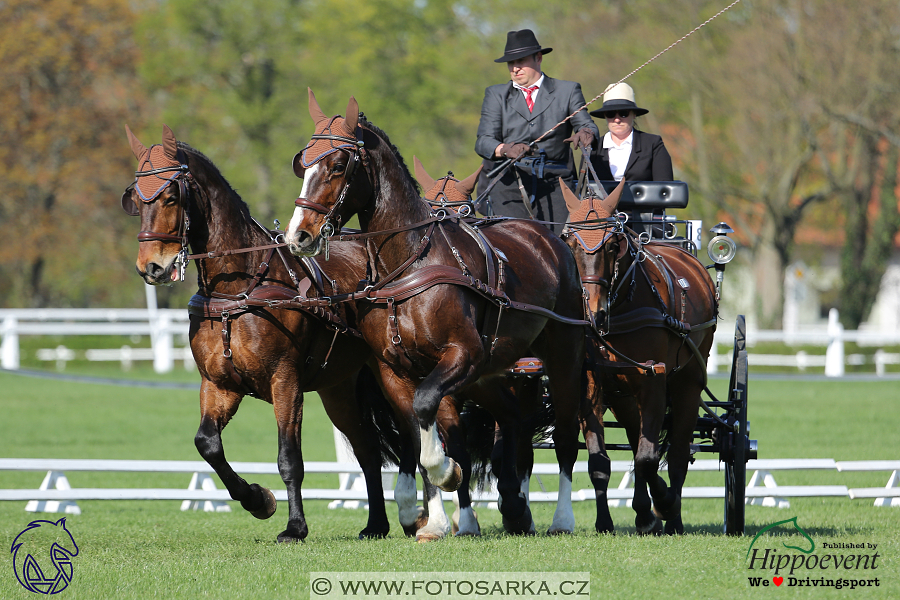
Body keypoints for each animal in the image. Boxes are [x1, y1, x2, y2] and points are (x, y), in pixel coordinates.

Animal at [124, 124, 412, 540]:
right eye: (135, 199)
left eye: (170, 196)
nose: (151, 267)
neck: (239, 287)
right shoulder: (218, 384)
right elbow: (207, 444)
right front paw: (257, 499)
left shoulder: (285, 381)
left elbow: (289, 457)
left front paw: (294, 526)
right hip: (338, 388)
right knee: (367, 450)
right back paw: (376, 523)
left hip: (391, 372)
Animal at [286, 90, 612, 536]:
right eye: (302, 164)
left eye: (338, 166)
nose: (297, 235)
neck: (409, 264)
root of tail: (548, 237)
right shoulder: (395, 370)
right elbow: (416, 432)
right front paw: (435, 518)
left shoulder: (461, 355)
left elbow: (428, 417)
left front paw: (447, 476)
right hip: (489, 371)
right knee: (513, 418)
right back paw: (514, 505)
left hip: (562, 356)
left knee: (564, 434)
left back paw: (561, 517)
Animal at [564, 179, 716, 536]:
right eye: (570, 243)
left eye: (612, 245)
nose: (592, 311)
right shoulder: (591, 384)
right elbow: (601, 461)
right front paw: (608, 521)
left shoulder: (654, 380)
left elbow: (649, 459)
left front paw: (662, 504)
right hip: (623, 393)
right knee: (638, 440)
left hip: (687, 381)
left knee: (676, 452)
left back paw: (672, 516)